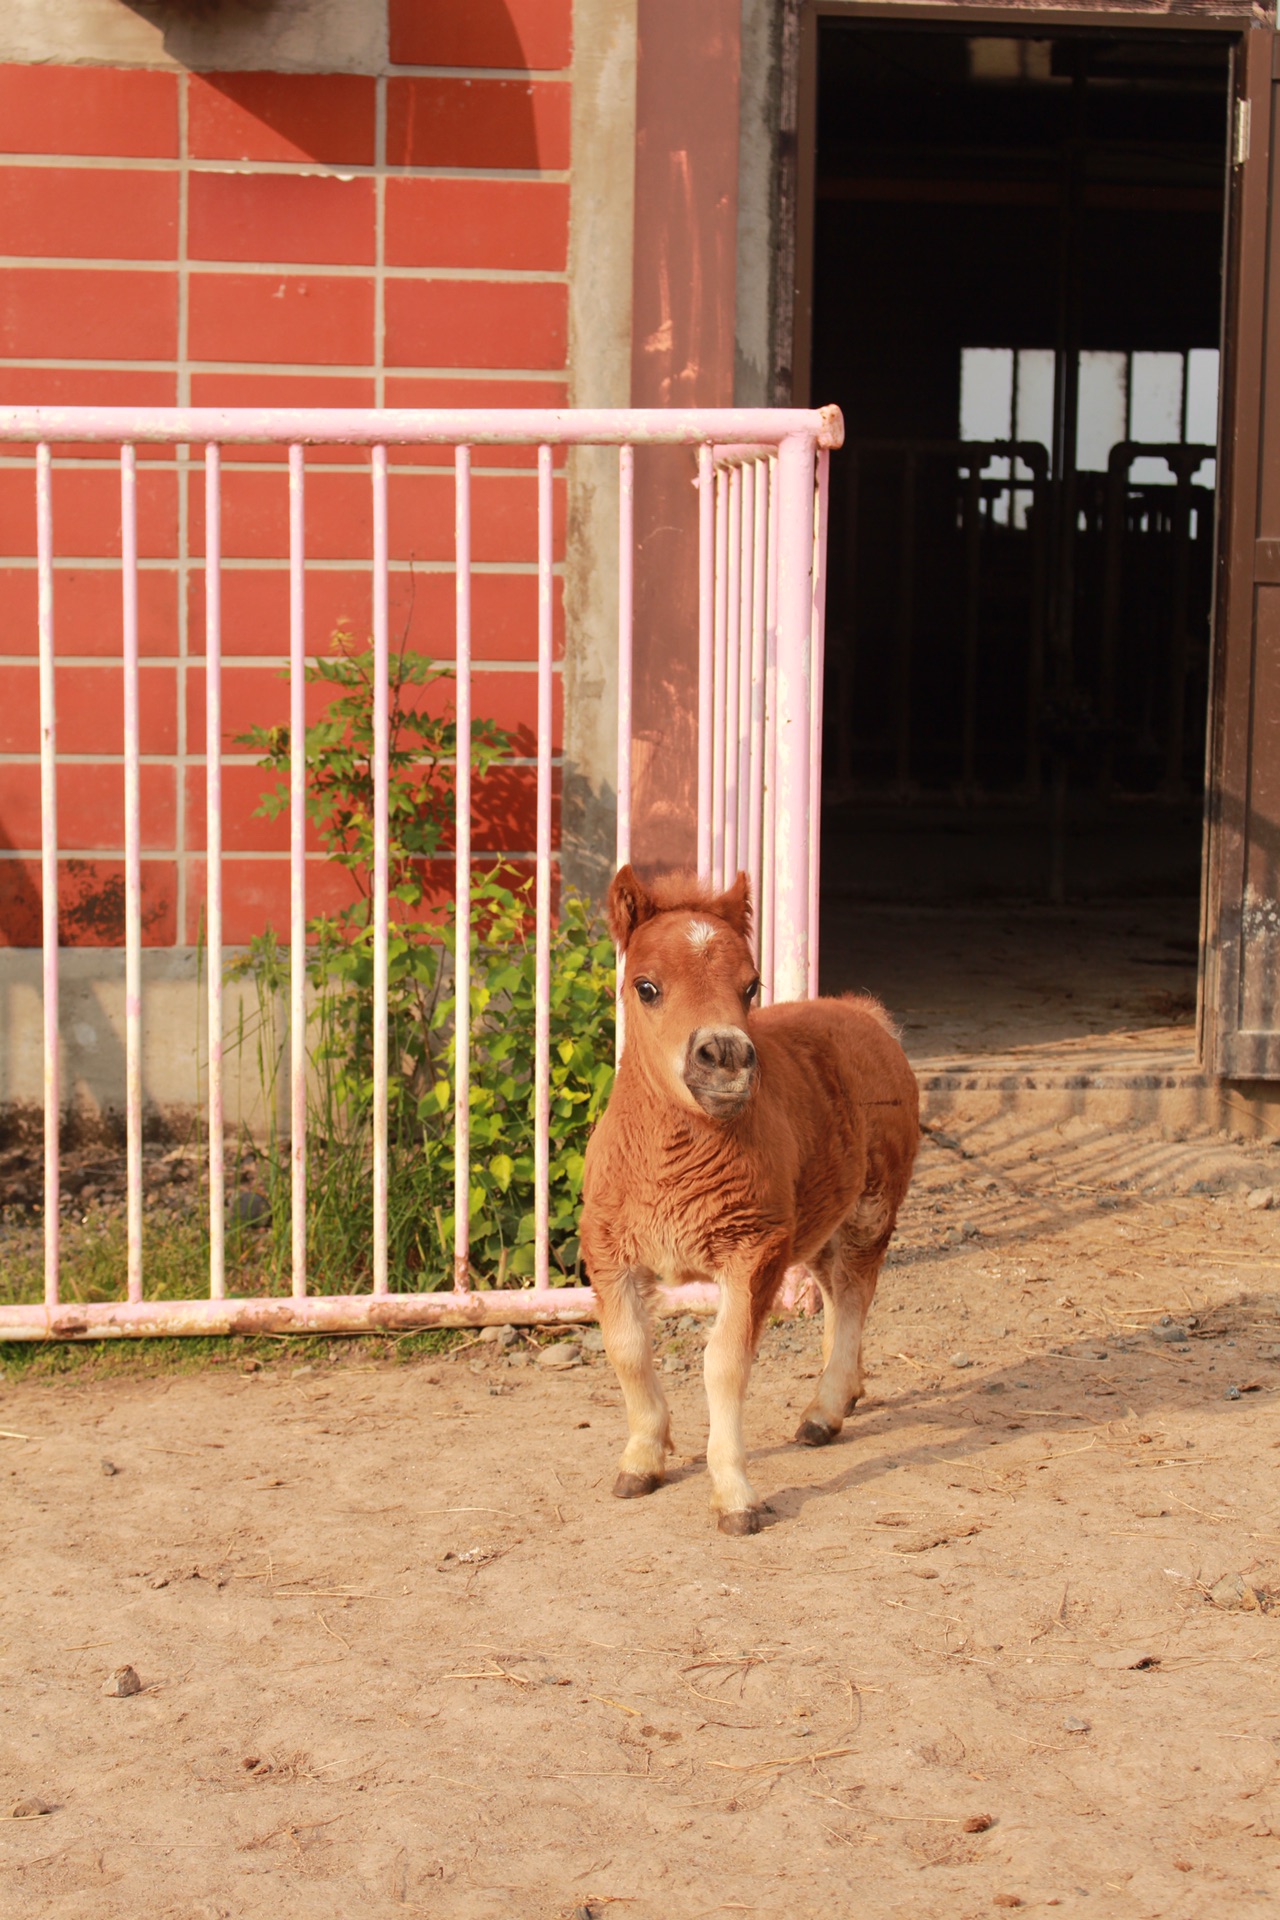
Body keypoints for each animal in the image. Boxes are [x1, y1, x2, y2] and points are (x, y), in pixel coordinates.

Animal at [579, 864, 921, 1536]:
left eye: (752, 984)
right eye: (646, 986)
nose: (727, 1056)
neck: (667, 1167)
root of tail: (865, 1014)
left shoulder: (753, 1252)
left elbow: (724, 1365)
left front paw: (735, 1496)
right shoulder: (610, 1254)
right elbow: (628, 1351)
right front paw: (642, 1461)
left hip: (870, 1209)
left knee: (857, 1292)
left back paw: (824, 1410)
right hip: (818, 1218)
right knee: (836, 1289)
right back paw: (848, 1392)